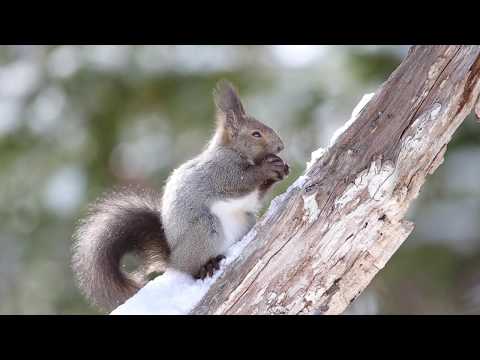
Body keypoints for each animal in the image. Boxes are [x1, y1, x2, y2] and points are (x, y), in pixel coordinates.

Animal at [71, 80, 288, 310]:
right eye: (256, 134)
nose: (281, 146)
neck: (234, 152)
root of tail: (174, 259)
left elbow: (255, 198)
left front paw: (281, 170)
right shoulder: (220, 171)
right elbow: (240, 182)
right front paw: (267, 168)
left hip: (244, 222)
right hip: (204, 229)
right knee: (192, 269)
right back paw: (206, 267)